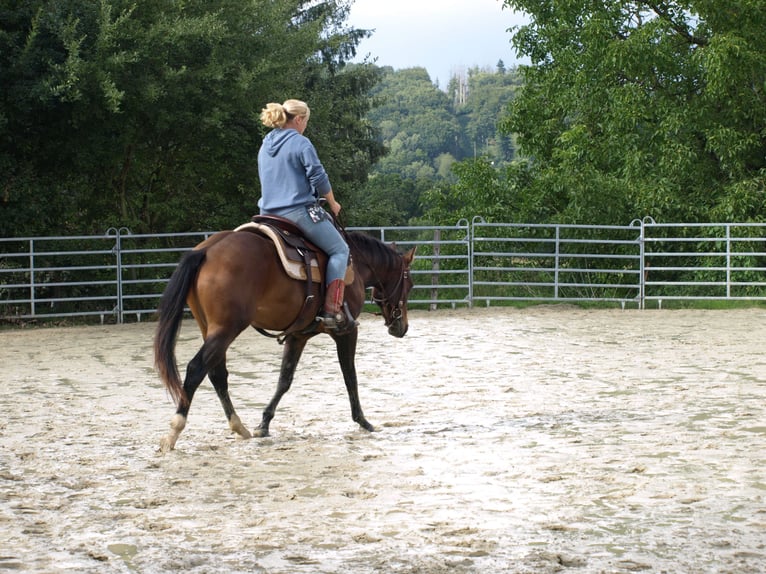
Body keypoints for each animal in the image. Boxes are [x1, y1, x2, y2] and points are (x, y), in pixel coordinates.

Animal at [153, 223, 416, 452]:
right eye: (410, 284)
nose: (401, 326)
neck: (356, 265)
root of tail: (207, 249)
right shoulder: (347, 331)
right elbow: (350, 376)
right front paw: (363, 420)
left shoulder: (298, 335)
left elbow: (284, 379)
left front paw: (264, 424)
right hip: (226, 329)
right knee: (196, 368)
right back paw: (174, 431)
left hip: (210, 328)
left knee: (217, 374)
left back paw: (239, 426)